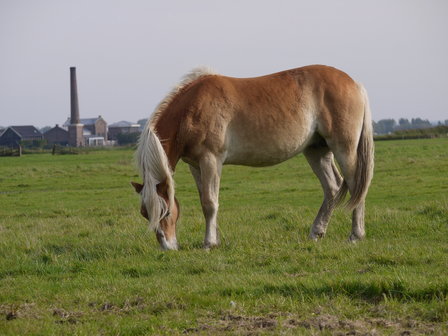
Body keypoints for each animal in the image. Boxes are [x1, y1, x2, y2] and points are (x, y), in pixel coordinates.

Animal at [131, 65, 372, 249]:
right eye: (144, 213)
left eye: (166, 212)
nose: (168, 247)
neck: (191, 109)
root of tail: (355, 84)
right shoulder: (195, 166)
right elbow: (205, 200)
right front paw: (215, 239)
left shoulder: (211, 160)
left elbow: (210, 203)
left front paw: (209, 243)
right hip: (316, 151)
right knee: (332, 187)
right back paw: (316, 232)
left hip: (344, 149)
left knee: (355, 186)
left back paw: (355, 236)